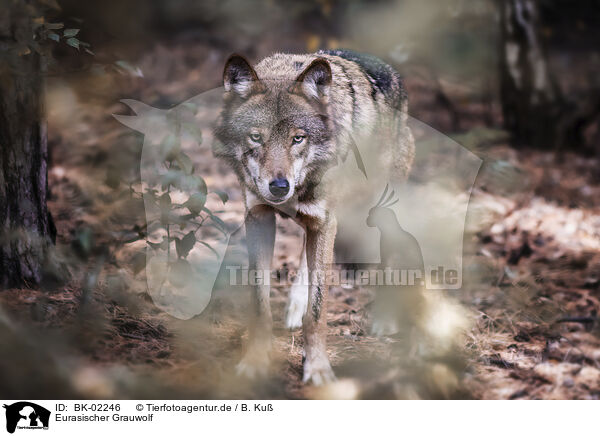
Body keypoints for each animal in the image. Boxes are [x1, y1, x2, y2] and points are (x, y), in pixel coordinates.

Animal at [213, 48, 414, 384]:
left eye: (298, 138)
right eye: (256, 138)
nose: (279, 187)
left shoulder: (324, 222)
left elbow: (318, 311)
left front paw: (318, 368)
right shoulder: (259, 217)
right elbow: (260, 303)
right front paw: (255, 360)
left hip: (383, 210)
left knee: (389, 259)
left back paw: (384, 320)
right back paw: (295, 306)